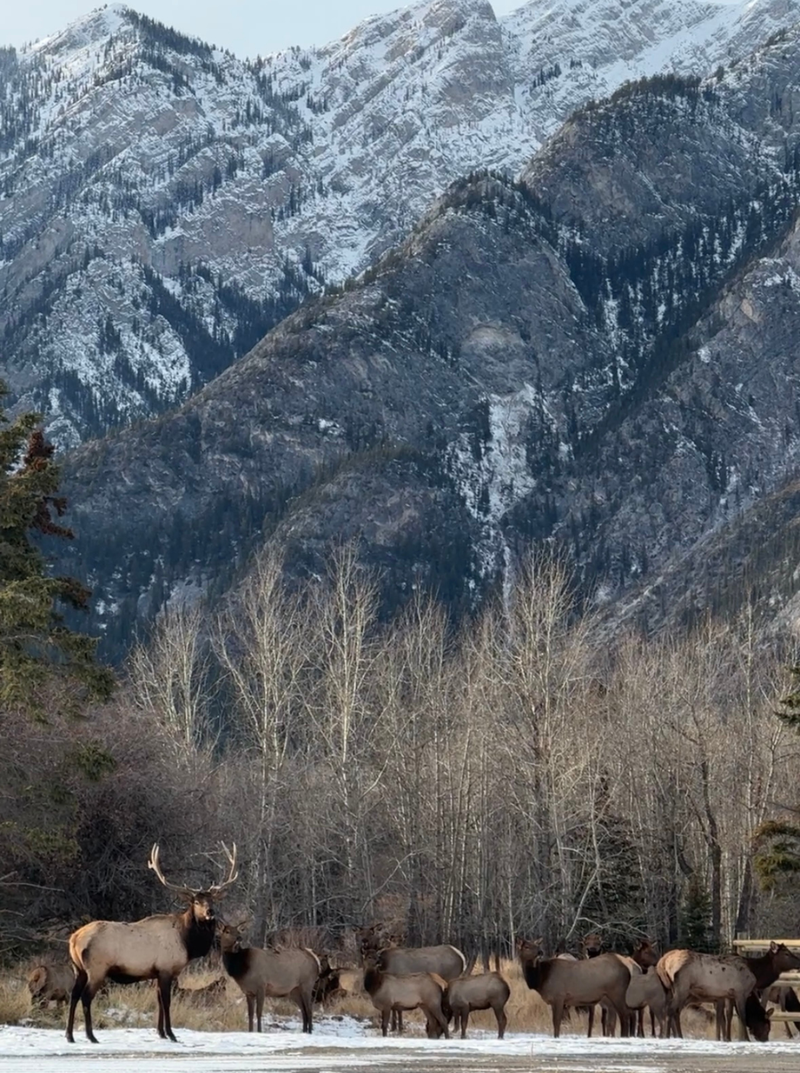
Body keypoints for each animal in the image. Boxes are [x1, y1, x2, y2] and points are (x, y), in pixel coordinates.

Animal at [66, 841, 237, 1043]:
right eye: (196, 901)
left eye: (212, 900)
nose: (211, 912)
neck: (187, 942)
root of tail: (74, 938)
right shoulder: (166, 969)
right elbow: (166, 1001)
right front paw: (171, 1034)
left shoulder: (156, 972)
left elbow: (159, 1001)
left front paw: (161, 1033)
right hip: (97, 968)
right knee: (85, 997)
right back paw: (91, 1036)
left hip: (78, 968)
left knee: (74, 995)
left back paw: (69, 1035)